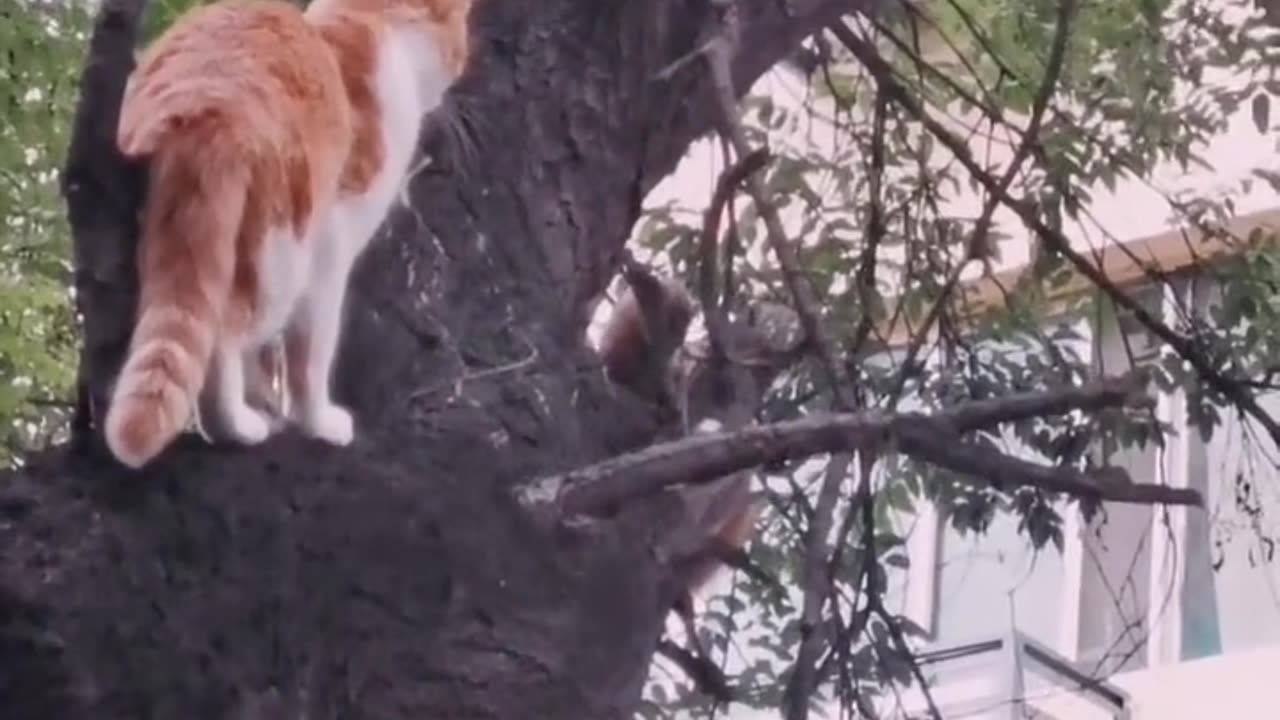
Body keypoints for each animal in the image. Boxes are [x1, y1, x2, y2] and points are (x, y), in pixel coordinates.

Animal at [101, 0, 471, 468]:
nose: (461, 63)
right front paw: (316, 422)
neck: (374, 22)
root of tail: (203, 99)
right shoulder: (331, 250)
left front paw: (266, 398)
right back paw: (236, 426)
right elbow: (310, 355)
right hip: (284, 251)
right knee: (226, 333)